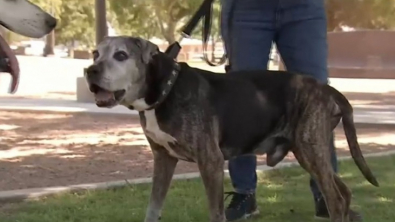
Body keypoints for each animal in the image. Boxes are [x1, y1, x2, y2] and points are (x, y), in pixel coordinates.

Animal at [84, 36, 380, 222]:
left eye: (121, 55)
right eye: (95, 54)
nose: (89, 71)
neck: (165, 89)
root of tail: (325, 88)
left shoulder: (210, 161)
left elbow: (216, 213)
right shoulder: (163, 159)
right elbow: (153, 207)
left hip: (310, 148)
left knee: (336, 199)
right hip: (309, 152)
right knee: (344, 192)